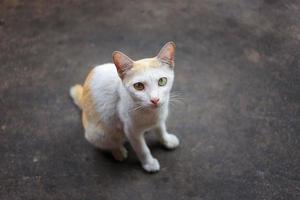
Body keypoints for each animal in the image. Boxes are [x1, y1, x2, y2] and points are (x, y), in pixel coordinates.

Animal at [69, 41, 179, 172]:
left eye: (162, 81)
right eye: (138, 86)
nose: (155, 100)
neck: (150, 113)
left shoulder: (159, 118)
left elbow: (161, 130)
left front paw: (167, 140)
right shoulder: (131, 131)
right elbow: (142, 149)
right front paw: (149, 163)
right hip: (98, 133)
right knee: (109, 143)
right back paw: (118, 151)